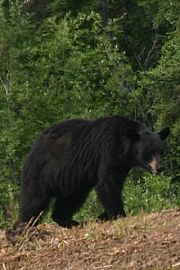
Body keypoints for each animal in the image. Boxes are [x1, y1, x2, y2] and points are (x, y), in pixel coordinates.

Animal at [17, 116, 169, 228]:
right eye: (148, 153)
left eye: (161, 151)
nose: (160, 167)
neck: (123, 145)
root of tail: (33, 147)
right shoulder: (108, 151)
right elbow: (107, 183)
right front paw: (118, 214)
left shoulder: (122, 164)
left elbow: (115, 183)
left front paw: (103, 215)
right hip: (41, 170)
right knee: (34, 200)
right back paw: (24, 226)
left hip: (71, 181)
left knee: (70, 198)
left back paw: (69, 221)